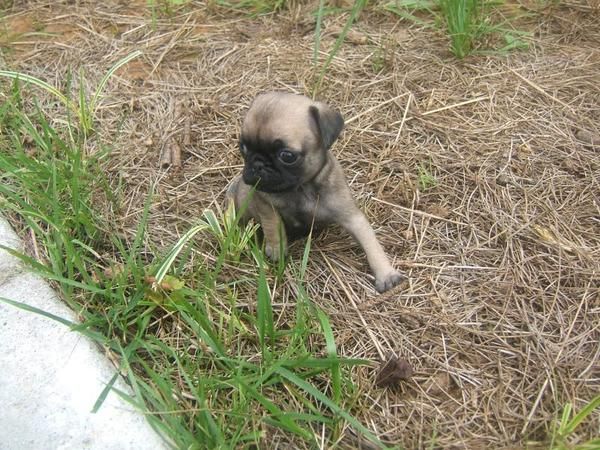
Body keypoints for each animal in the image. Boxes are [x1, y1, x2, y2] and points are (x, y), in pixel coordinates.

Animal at [227, 92, 406, 296]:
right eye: (243, 147)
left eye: (287, 156)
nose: (257, 164)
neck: (300, 188)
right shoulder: (265, 203)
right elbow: (273, 224)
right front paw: (276, 249)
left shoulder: (352, 217)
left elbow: (370, 243)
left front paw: (386, 274)